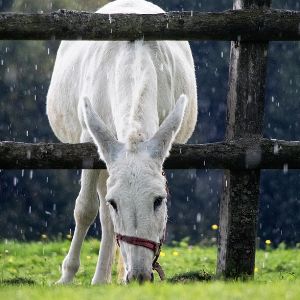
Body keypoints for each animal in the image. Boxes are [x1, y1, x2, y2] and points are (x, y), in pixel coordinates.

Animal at [46, 0, 197, 284]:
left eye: (159, 200)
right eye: (115, 202)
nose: (138, 276)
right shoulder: (89, 141)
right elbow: (85, 209)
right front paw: (66, 277)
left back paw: (103, 279)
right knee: (103, 216)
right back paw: (99, 279)